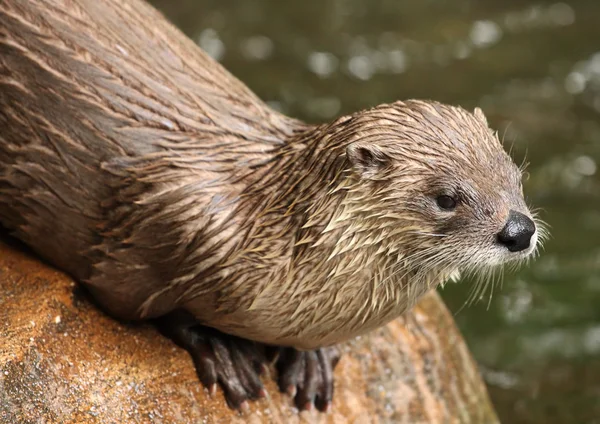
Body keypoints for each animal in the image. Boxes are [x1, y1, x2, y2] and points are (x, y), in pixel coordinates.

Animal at [0, 0, 544, 414]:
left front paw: (312, 360)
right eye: (446, 198)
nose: (519, 231)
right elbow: (145, 307)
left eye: (515, 177)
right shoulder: (159, 231)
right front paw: (223, 349)